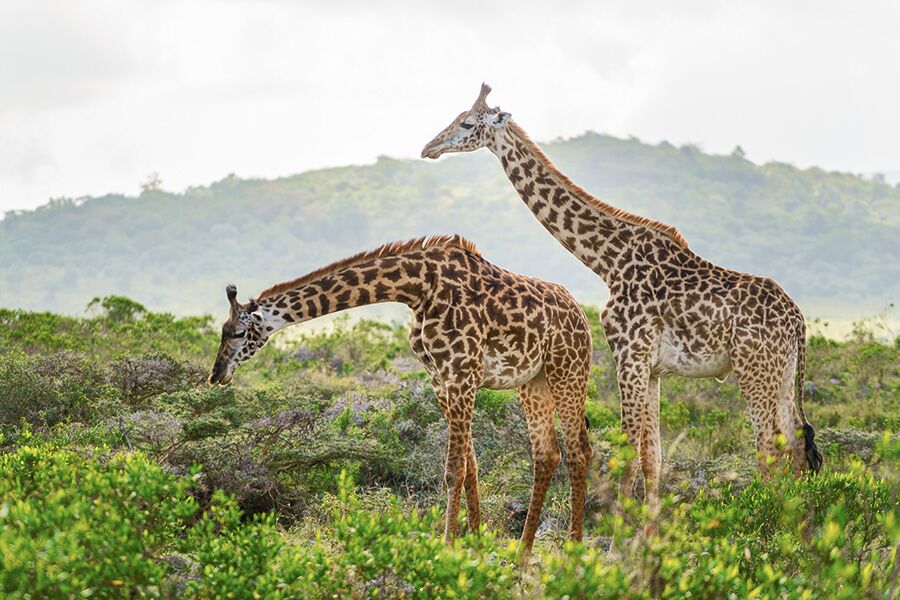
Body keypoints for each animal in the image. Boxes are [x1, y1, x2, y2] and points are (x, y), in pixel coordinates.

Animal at [207, 235, 593, 557]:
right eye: (222, 330)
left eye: (238, 332)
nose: (216, 374)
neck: (418, 288)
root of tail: (581, 315)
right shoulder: (441, 378)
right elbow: (470, 465)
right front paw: (477, 547)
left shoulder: (461, 373)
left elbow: (454, 468)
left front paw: (448, 548)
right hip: (533, 381)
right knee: (547, 453)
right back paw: (523, 556)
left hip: (568, 370)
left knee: (578, 450)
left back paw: (572, 553)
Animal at [421, 85, 823, 520]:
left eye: (465, 123)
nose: (429, 147)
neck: (608, 261)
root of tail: (798, 321)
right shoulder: (653, 368)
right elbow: (653, 456)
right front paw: (646, 530)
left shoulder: (629, 354)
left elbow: (629, 450)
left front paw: (618, 536)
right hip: (781, 374)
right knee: (797, 443)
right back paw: (797, 521)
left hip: (754, 370)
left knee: (769, 447)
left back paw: (770, 518)